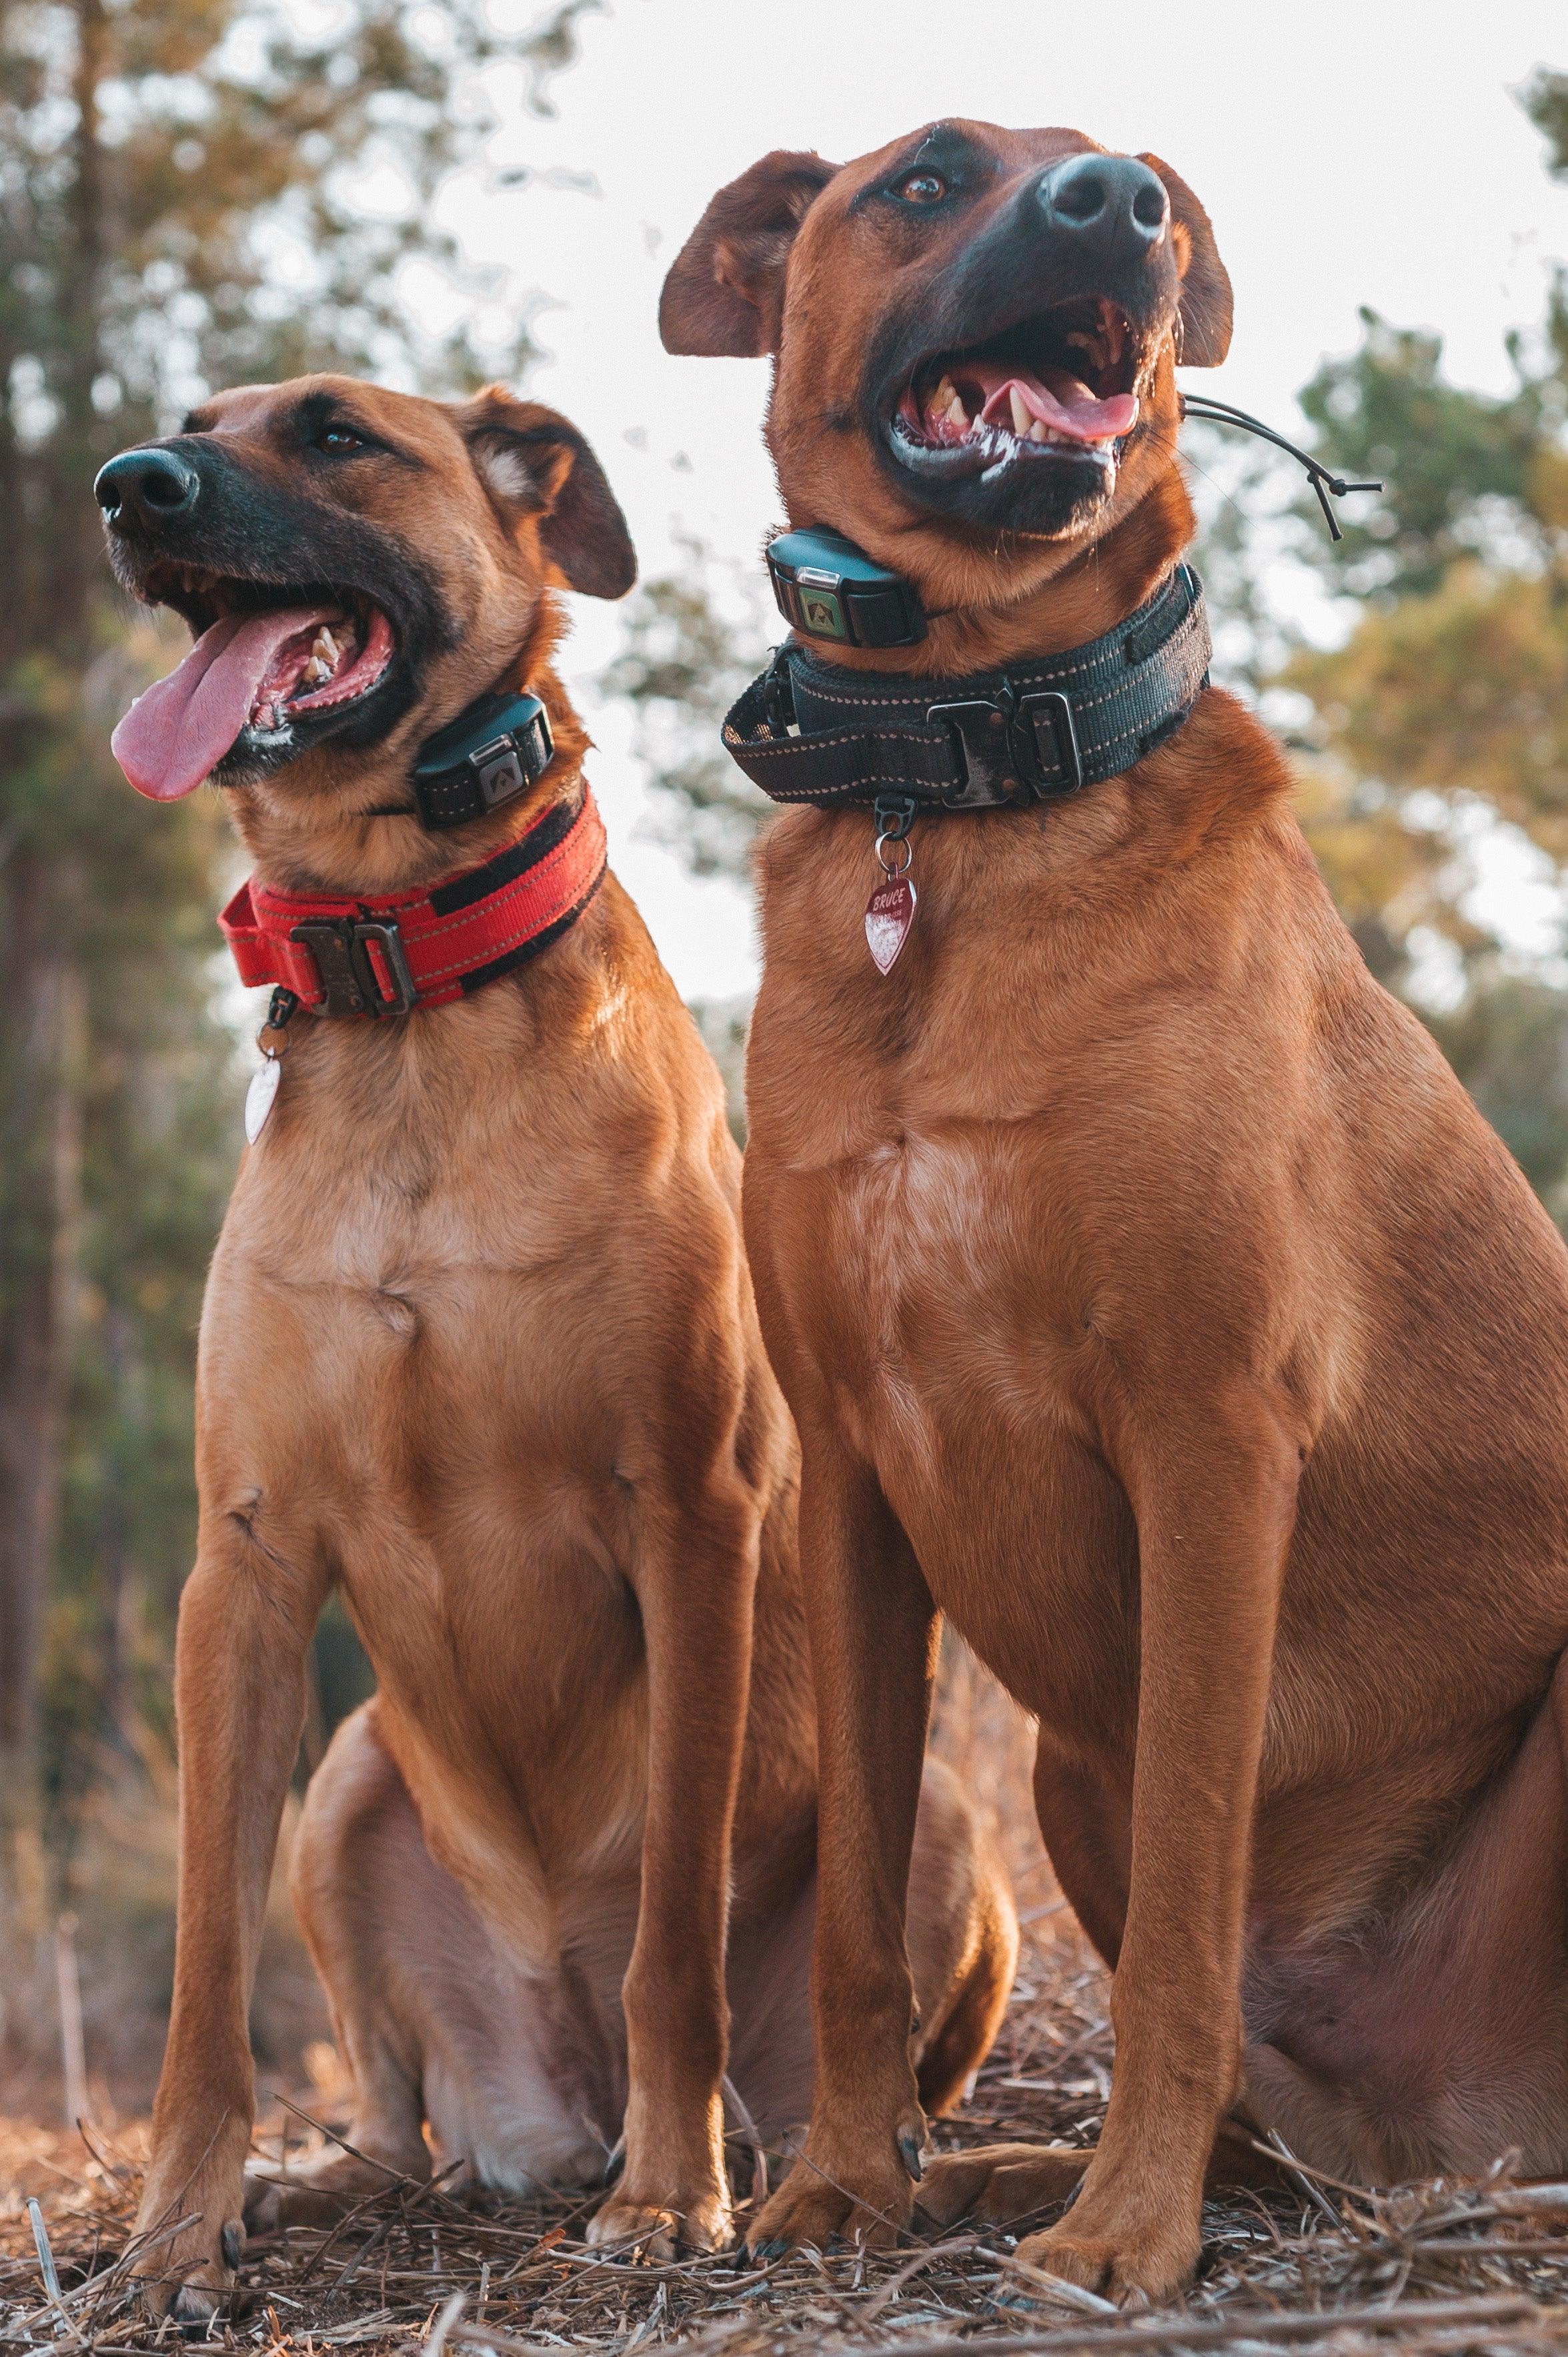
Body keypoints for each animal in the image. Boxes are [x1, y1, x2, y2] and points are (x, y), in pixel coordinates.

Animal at [97, 377, 1023, 2310]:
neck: (406, 988)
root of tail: (549, 2083)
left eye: (334, 433)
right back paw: (345, 2180)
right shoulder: (241, 1566)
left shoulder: (686, 1519)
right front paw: (173, 2230)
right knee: (394, 2106)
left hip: (936, 1828)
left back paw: (771, 2148)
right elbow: (206, 1983)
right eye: (190, 421)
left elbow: (669, 1929)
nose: (123, 486)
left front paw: (670, 2197)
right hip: (350, 1776)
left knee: (832, 2033)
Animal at [664, 129, 1568, 2300]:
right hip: (1068, 1753)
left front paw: (1123, 2229)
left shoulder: (1208, 1436)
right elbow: (854, 1913)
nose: (1120, 209)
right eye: (922, 178)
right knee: (1270, 2121)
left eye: (1138, 176)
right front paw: (841, 2181)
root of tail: (1440, 2143)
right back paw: (1006, 2170)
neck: (958, 798)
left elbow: (1174, 1911)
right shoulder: (847, 1474)